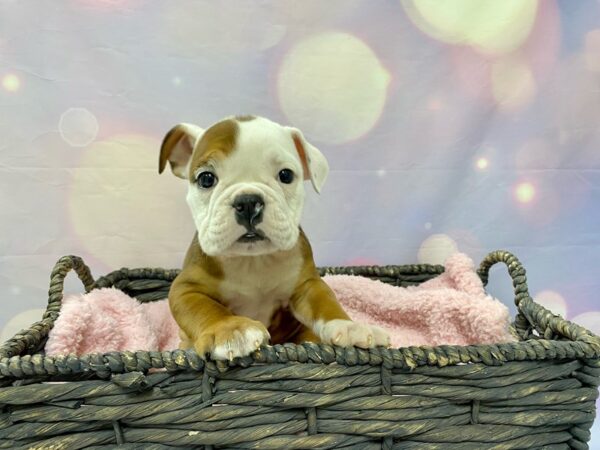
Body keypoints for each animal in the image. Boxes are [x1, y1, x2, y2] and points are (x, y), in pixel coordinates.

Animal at [158, 115, 390, 358]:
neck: (253, 260)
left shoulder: (307, 285)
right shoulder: (186, 289)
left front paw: (349, 326)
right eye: (206, 179)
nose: (248, 202)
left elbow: (325, 302)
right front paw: (231, 330)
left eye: (286, 175)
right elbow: (206, 308)